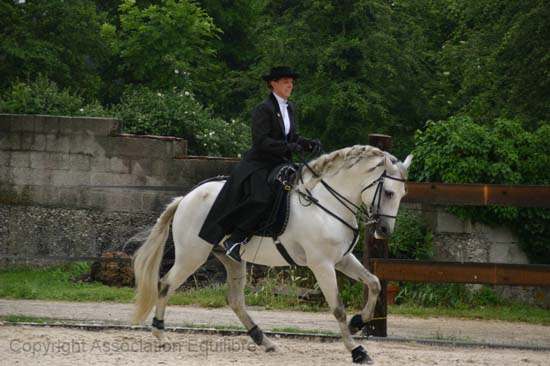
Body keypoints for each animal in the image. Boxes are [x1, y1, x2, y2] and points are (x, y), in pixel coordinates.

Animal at [134, 144, 412, 364]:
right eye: (388, 192)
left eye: (402, 194)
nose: (384, 231)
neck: (327, 203)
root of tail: (186, 197)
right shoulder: (322, 265)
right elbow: (338, 309)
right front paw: (357, 350)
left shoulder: (342, 259)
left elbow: (374, 283)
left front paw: (358, 322)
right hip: (192, 256)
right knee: (165, 284)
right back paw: (160, 334)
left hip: (232, 260)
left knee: (235, 300)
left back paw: (264, 340)